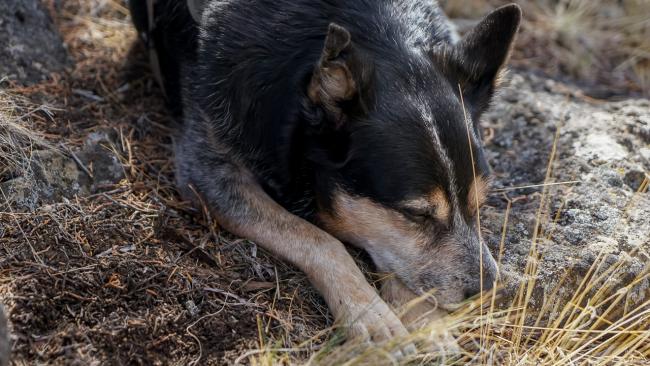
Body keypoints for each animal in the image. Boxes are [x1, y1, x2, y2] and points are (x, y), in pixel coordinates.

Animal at [129, 0, 520, 348]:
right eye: (416, 214)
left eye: (481, 203)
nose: (490, 293)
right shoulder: (209, 174)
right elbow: (320, 240)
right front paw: (370, 314)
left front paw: (423, 321)